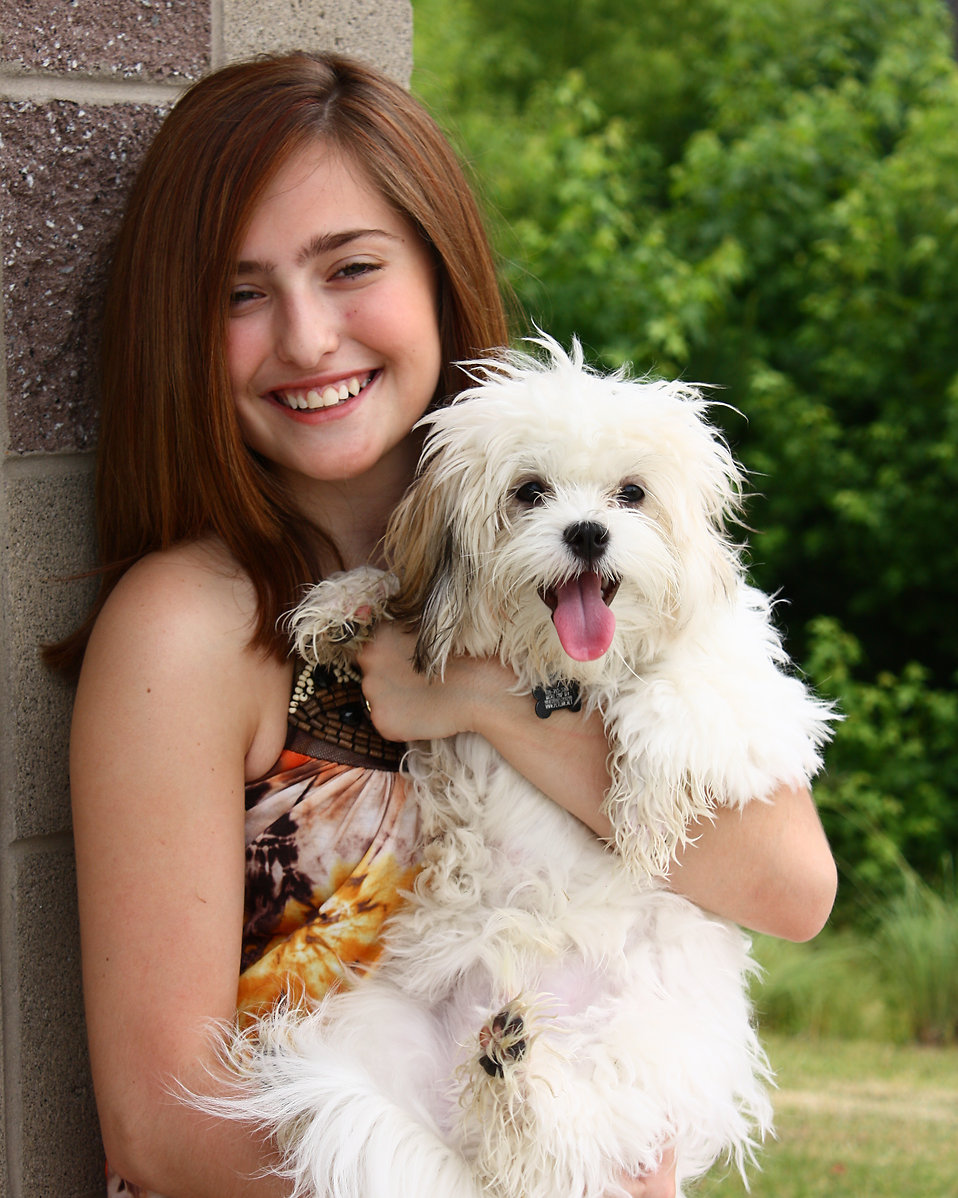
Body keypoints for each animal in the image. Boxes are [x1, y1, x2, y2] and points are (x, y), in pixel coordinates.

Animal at [207, 335, 828, 1198]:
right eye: (530, 492)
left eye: (631, 494)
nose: (589, 533)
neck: (560, 674)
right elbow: (396, 592)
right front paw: (350, 606)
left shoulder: (759, 705)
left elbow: (675, 695)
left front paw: (641, 804)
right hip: (371, 1037)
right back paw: (505, 1067)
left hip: (648, 1042)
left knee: (572, 1135)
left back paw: (524, 1081)